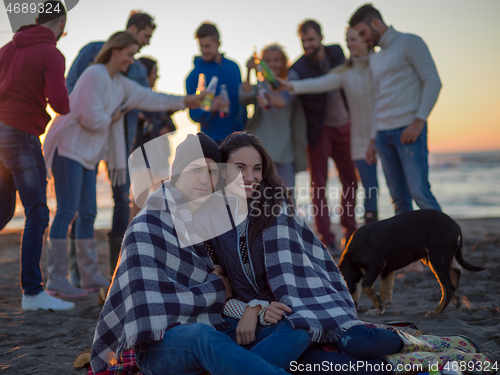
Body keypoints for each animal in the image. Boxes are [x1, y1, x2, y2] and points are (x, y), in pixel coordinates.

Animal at [338, 210, 486, 316]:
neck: (350, 258)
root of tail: (455, 225)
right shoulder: (387, 270)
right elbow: (385, 291)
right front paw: (379, 309)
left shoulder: (377, 263)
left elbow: (366, 285)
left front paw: (378, 305)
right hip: (439, 257)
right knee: (456, 272)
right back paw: (455, 301)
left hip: (436, 258)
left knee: (448, 287)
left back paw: (437, 311)